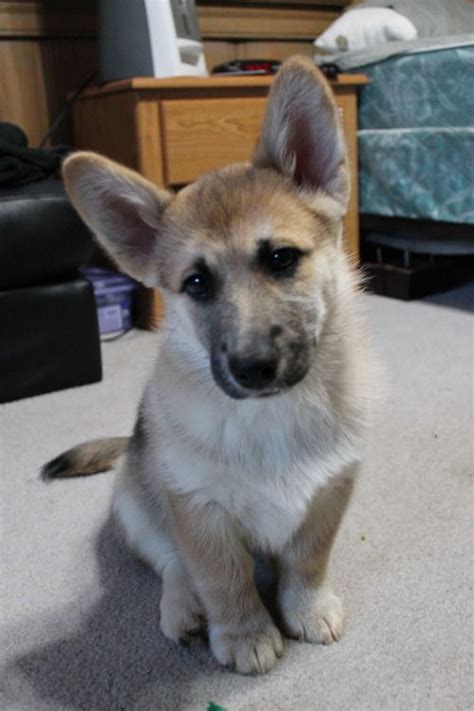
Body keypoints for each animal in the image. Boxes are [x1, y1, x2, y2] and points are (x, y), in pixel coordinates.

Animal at [42, 58, 372, 676]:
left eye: (281, 259)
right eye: (196, 283)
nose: (252, 369)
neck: (271, 418)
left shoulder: (329, 494)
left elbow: (308, 561)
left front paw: (307, 608)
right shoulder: (200, 511)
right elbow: (224, 579)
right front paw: (244, 634)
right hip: (136, 508)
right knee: (171, 563)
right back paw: (182, 608)